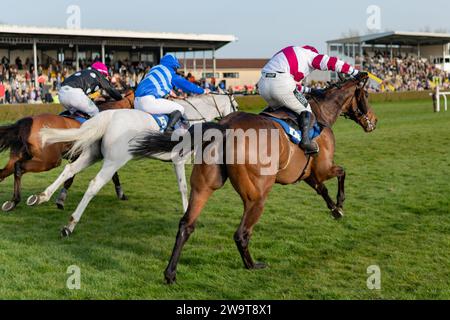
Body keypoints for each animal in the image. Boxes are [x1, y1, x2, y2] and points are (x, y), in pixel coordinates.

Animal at [0, 89, 135, 211]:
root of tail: (27, 123)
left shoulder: (76, 156)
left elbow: (70, 177)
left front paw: (60, 200)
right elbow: (113, 174)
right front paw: (122, 194)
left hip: (19, 157)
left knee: (6, 171)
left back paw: (13, 202)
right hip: (50, 161)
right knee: (20, 167)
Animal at [132, 73, 378, 282]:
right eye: (366, 95)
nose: (373, 121)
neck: (320, 113)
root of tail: (225, 126)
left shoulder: (308, 174)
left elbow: (323, 190)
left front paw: (335, 210)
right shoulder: (323, 168)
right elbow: (342, 172)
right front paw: (341, 203)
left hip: (203, 186)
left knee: (186, 224)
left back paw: (170, 273)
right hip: (257, 196)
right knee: (241, 233)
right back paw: (253, 265)